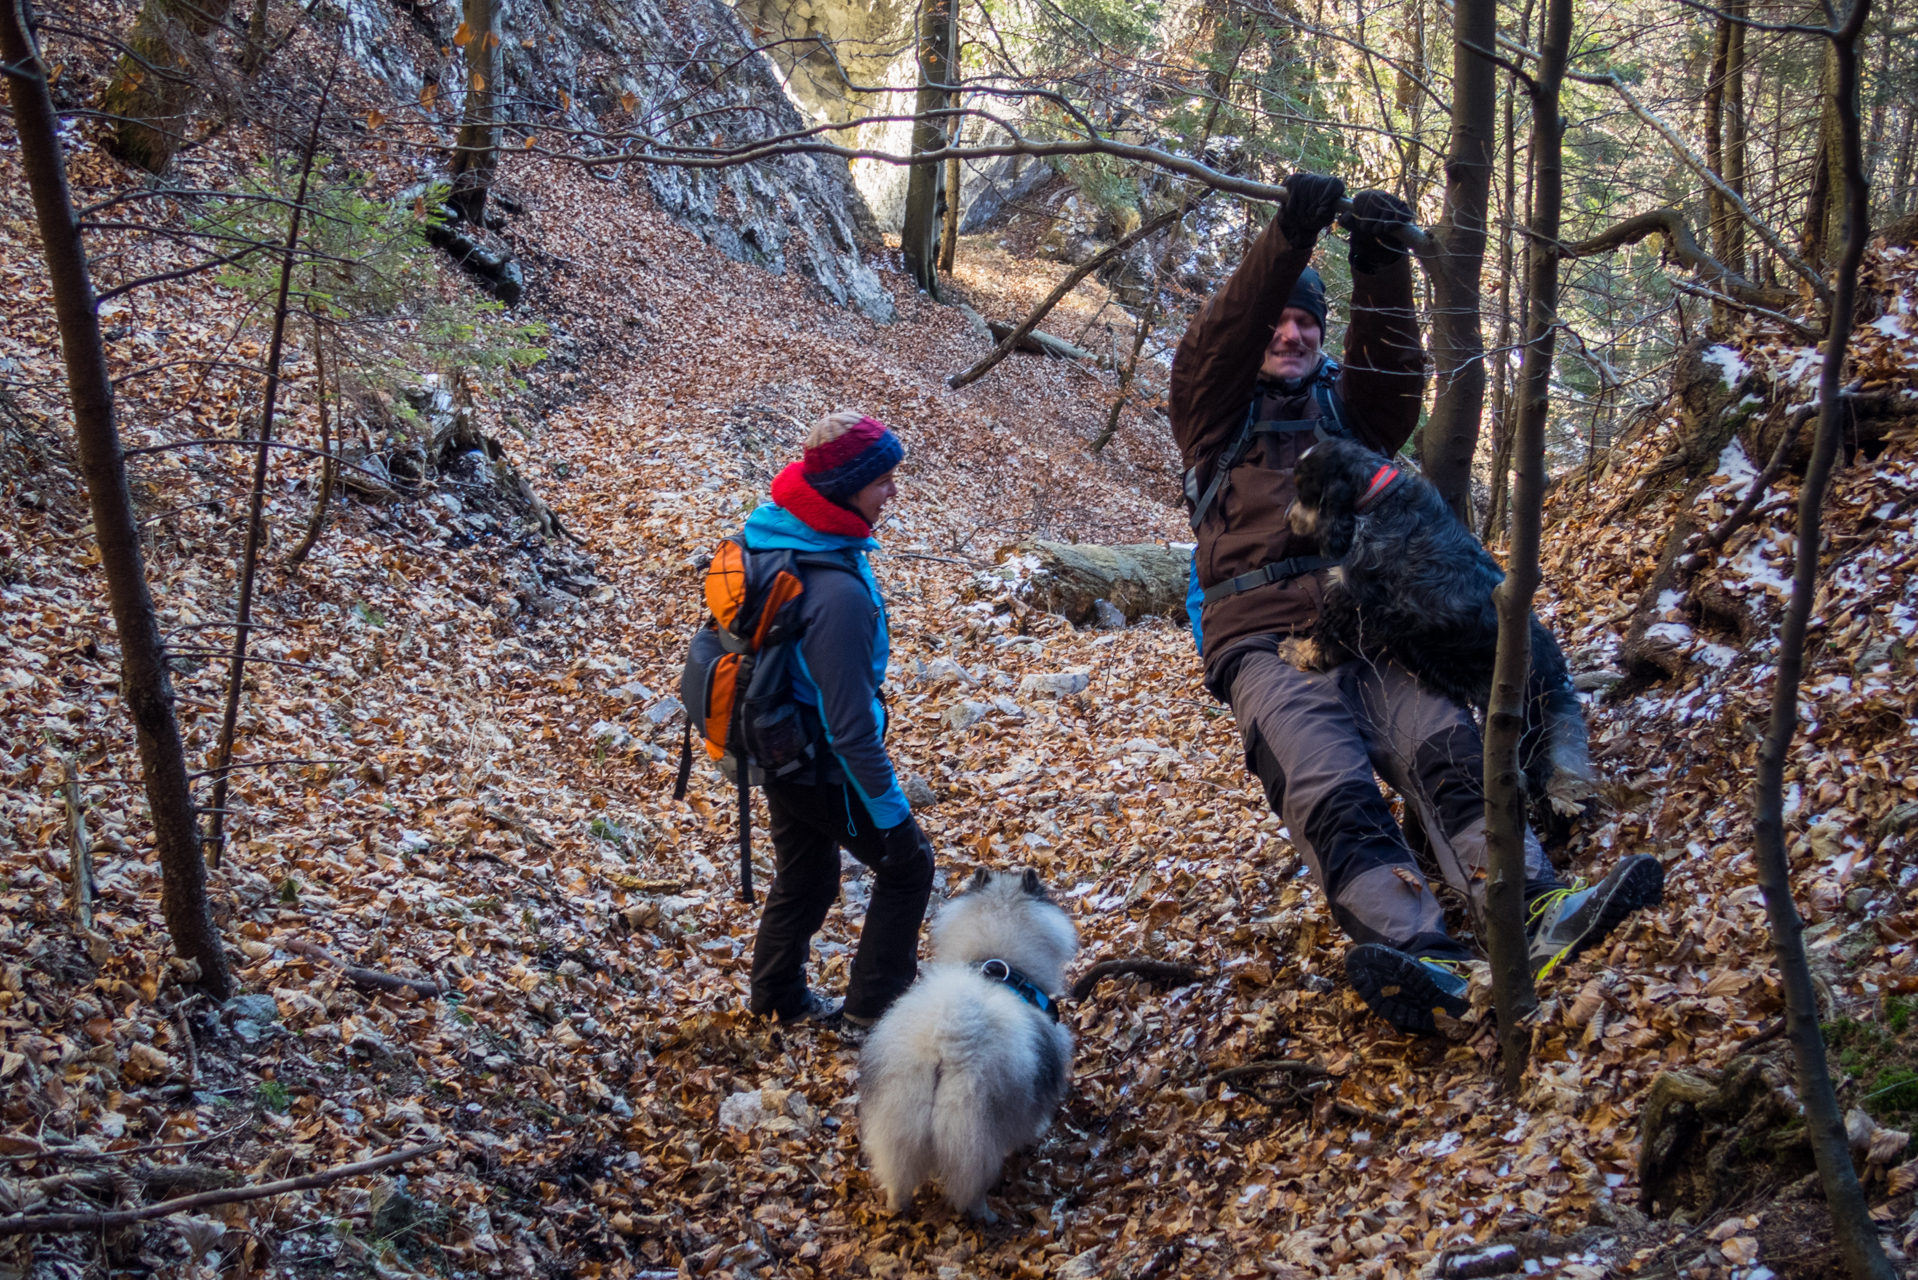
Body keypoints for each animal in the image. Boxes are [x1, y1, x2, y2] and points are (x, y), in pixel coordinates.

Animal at [859, 871, 1081, 1220]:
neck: (1000, 961)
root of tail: (947, 1042)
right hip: (975, 1134)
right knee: (970, 1188)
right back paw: (988, 1216)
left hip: (898, 1123)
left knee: (898, 1180)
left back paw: (899, 1208)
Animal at [1296, 435, 1595, 817]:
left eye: (1303, 491)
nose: (1289, 519)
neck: (1379, 497)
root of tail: (1555, 669)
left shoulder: (1356, 598)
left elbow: (1327, 637)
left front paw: (1297, 651)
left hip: (1525, 728)